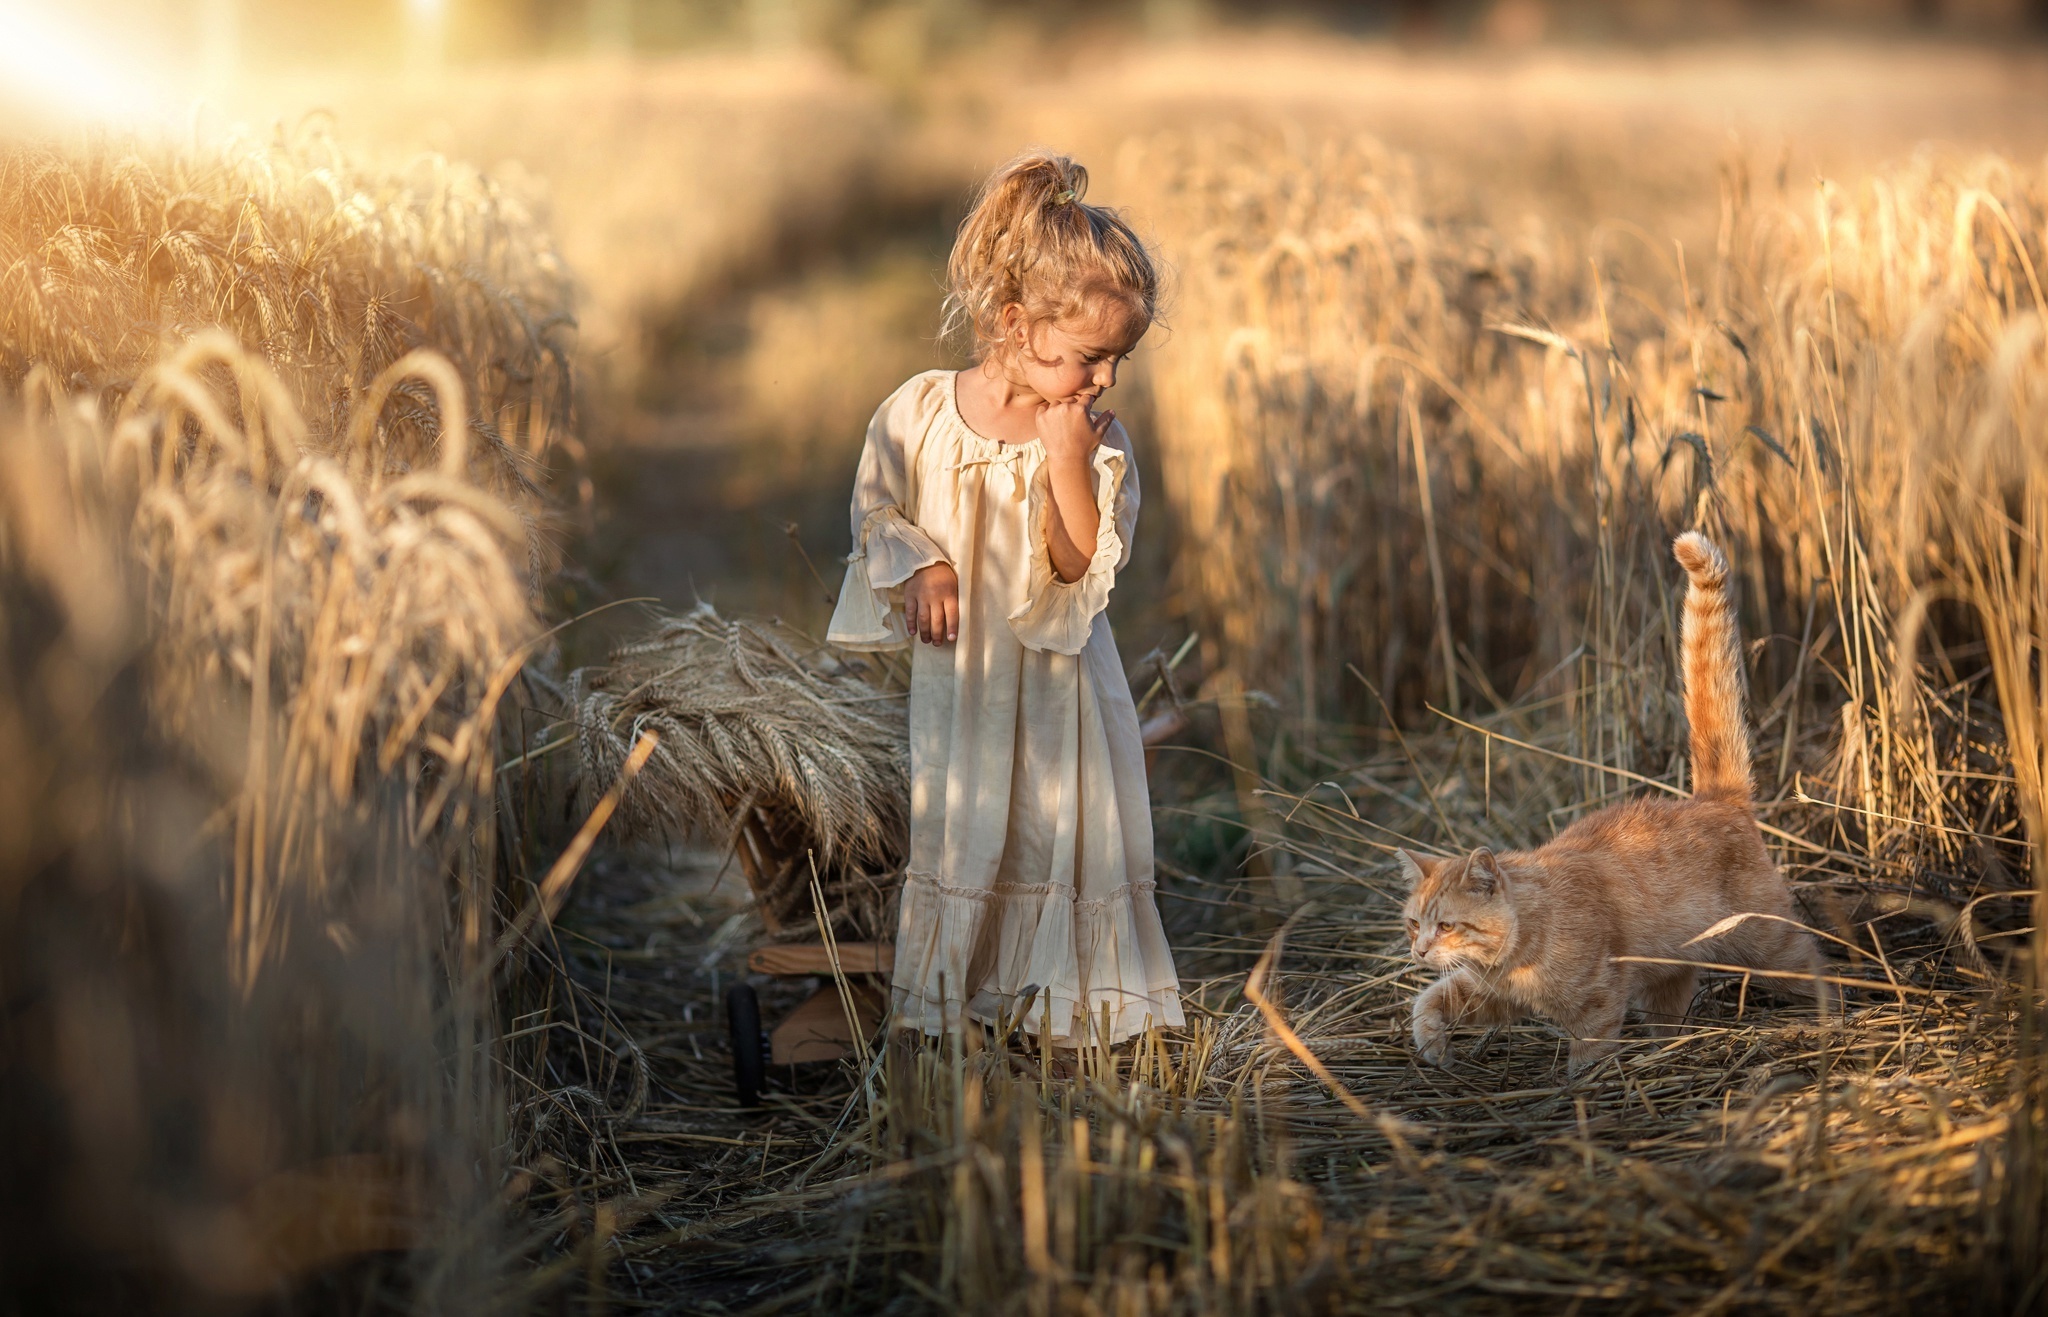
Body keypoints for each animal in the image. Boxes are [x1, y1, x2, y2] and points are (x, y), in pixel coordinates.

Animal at [1409, 532, 1826, 1073]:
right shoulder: (1488, 994)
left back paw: (1835, 1018)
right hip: (1671, 972)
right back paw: (1665, 1054)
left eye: (1446, 926)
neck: (1525, 935)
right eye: (1414, 923)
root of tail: (1716, 797)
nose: (1418, 952)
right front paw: (1432, 1044)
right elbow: (1428, 1000)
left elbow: (1588, 1059)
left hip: (1767, 945)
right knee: (1671, 1012)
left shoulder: (1598, 1004)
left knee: (1814, 966)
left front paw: (1579, 1088)